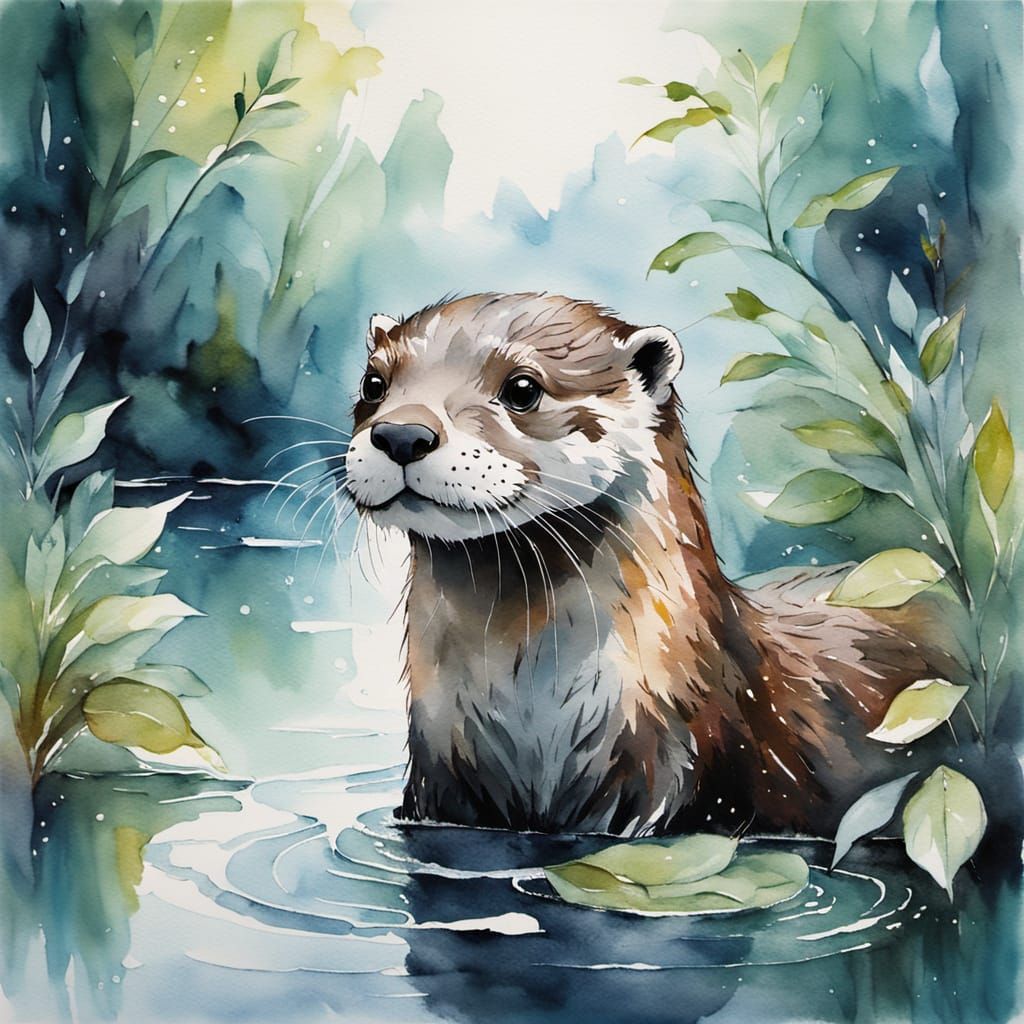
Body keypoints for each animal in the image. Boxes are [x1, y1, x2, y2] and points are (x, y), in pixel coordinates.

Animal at [343, 292, 935, 837]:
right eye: (374, 384)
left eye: (522, 389)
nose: (403, 434)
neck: (534, 723)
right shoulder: (440, 780)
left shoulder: (676, 776)